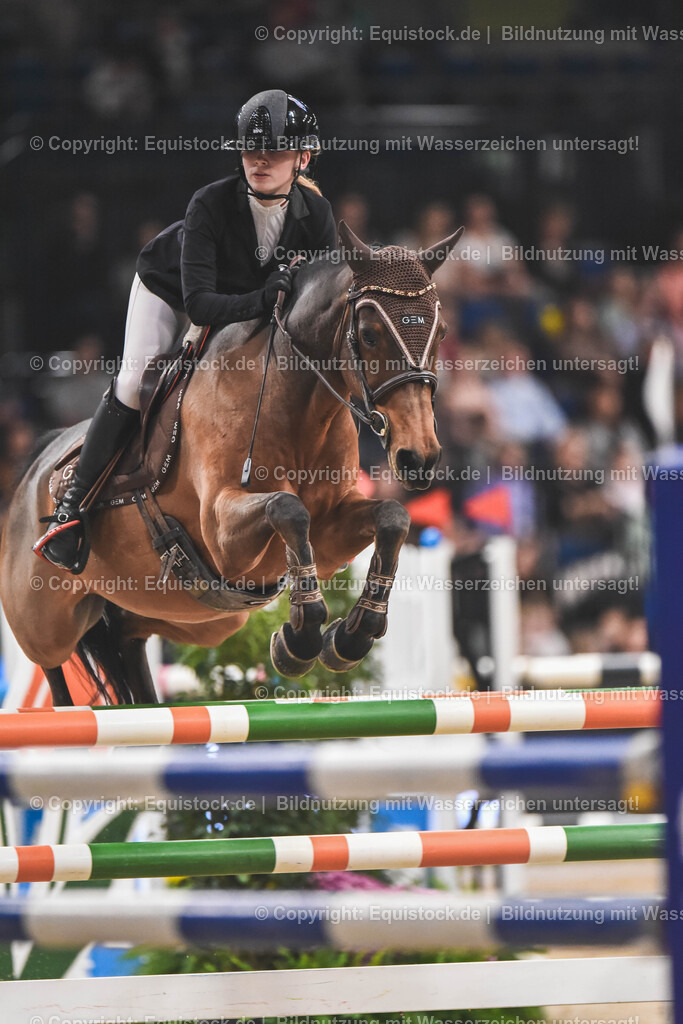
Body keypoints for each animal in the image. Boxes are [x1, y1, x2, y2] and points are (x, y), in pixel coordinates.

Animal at [0, 221, 463, 707]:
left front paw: (350, 637)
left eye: (442, 332)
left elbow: (392, 517)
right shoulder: (222, 534)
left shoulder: (330, 534)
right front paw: (300, 640)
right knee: (54, 668)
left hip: (187, 615)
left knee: (128, 639)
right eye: (370, 334)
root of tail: (34, 469)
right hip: (44, 622)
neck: (297, 405)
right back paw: (64, 532)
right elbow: (287, 508)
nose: (419, 457)